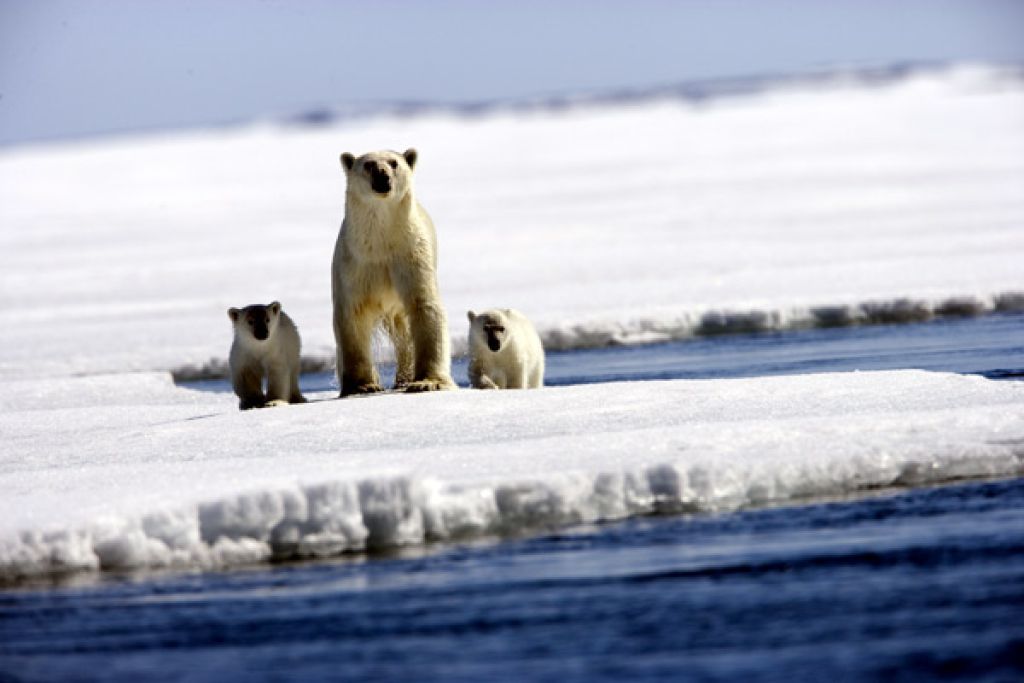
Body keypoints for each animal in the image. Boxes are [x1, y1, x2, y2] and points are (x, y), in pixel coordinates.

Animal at [331, 149, 456, 395]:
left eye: (394, 163)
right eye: (368, 164)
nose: (382, 175)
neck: (380, 243)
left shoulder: (411, 256)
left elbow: (424, 307)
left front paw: (427, 382)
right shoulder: (354, 265)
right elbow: (352, 315)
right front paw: (363, 385)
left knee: (405, 333)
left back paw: (404, 379)